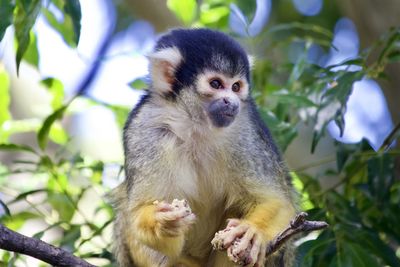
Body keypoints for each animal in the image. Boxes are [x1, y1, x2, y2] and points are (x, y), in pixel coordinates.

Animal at [111, 28, 298, 266]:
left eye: (236, 87)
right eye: (216, 84)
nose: (231, 102)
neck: (195, 125)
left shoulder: (244, 127)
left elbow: (276, 200)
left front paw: (252, 230)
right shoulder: (144, 127)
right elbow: (137, 211)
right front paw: (164, 223)